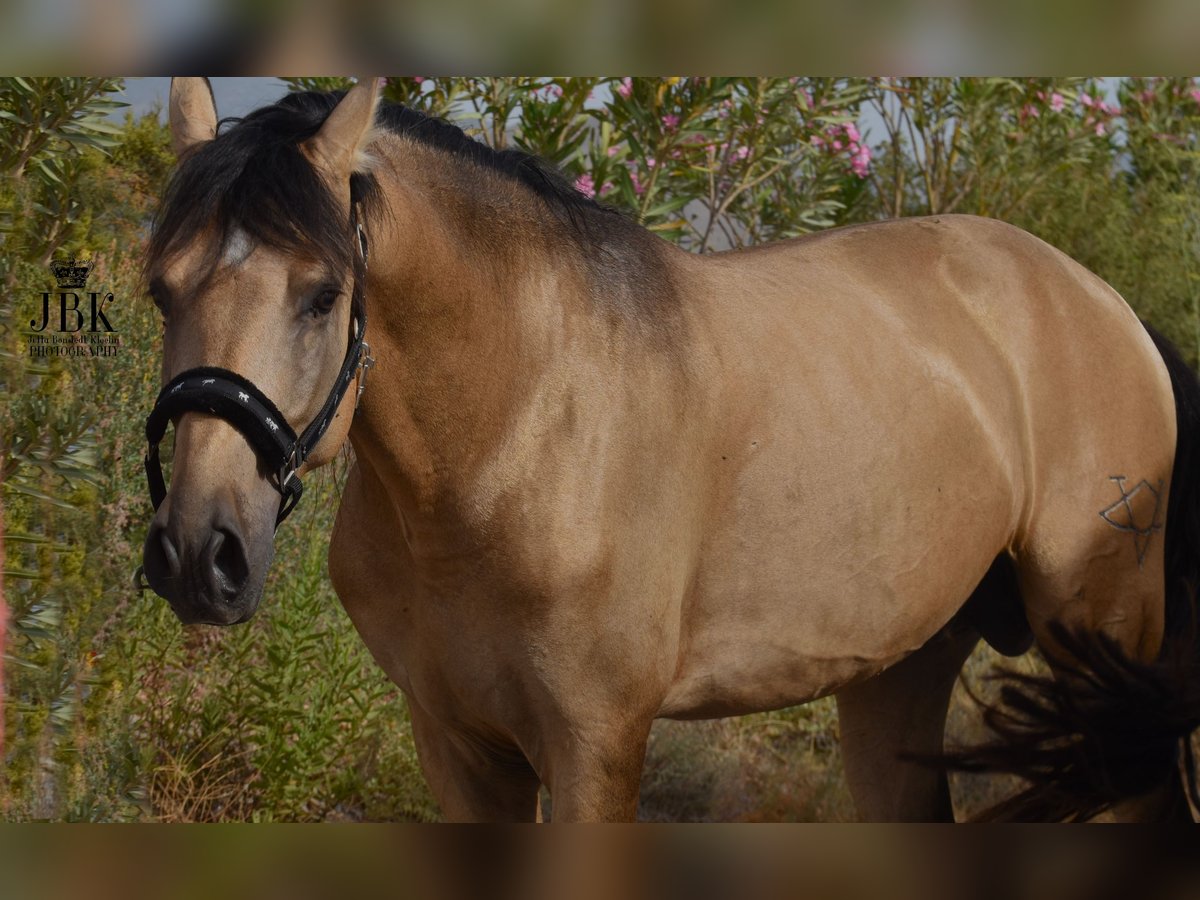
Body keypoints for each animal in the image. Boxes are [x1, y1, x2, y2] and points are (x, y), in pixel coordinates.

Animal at [140, 79, 1200, 825]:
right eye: (160, 288)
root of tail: (1103, 305)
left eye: (322, 294)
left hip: (1099, 645)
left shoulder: (596, 743)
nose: (200, 552)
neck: (518, 435)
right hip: (899, 671)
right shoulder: (458, 746)